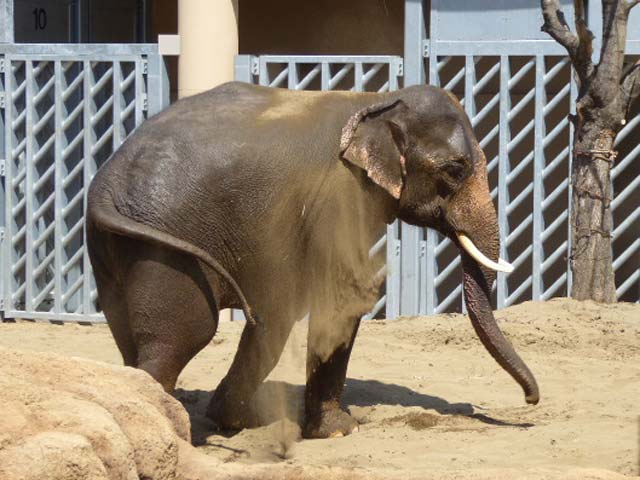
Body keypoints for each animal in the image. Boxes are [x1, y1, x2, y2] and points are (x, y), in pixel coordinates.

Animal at [84, 82, 536, 438]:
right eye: (456, 169)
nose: (531, 402)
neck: (375, 102)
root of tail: (104, 188)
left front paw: (242, 422)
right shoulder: (341, 197)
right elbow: (341, 297)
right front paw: (340, 430)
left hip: (114, 249)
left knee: (131, 332)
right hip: (168, 245)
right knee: (184, 335)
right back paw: (170, 427)